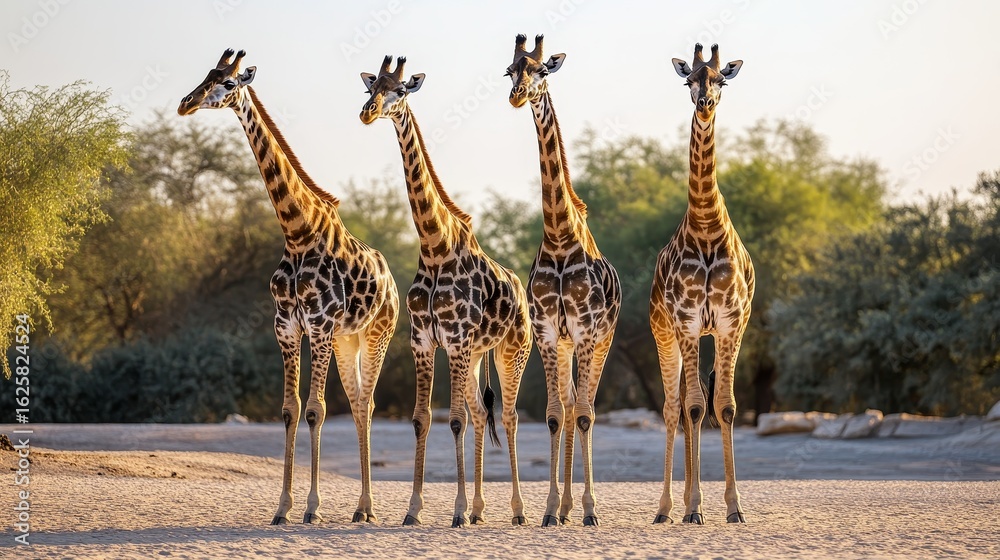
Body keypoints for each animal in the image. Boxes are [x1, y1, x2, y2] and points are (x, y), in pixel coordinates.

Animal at [178, 49, 399, 525]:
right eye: (205, 75)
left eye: (227, 83)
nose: (187, 102)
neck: (297, 232)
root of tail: (391, 280)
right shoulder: (286, 326)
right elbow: (290, 409)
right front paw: (282, 508)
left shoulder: (317, 324)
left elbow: (316, 410)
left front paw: (312, 508)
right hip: (347, 340)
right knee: (357, 403)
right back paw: (359, 508)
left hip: (377, 334)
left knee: (368, 404)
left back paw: (367, 507)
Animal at [359, 55, 532, 527]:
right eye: (370, 87)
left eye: (400, 90)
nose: (368, 112)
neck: (435, 247)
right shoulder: (423, 339)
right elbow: (422, 419)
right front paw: (414, 509)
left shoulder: (454, 338)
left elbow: (452, 420)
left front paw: (452, 511)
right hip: (474, 356)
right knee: (481, 411)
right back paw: (478, 509)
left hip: (513, 349)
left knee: (508, 416)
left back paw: (517, 511)